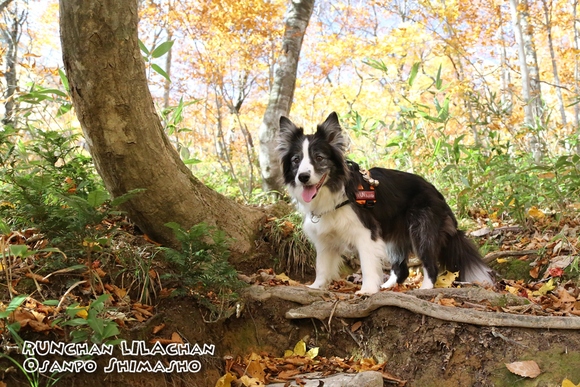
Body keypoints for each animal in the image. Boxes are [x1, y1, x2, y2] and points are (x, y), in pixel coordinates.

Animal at [278, 113, 494, 296]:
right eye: (296, 160)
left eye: (319, 158)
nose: (303, 177)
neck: (336, 190)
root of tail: (436, 192)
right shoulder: (325, 238)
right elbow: (322, 266)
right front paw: (315, 287)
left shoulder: (366, 233)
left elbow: (367, 265)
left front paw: (367, 290)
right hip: (394, 236)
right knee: (402, 269)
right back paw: (389, 286)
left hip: (421, 230)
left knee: (430, 264)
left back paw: (424, 288)